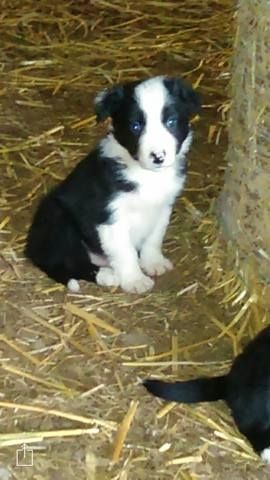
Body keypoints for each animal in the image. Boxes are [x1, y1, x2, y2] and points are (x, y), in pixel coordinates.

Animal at [24, 76, 200, 292]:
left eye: (171, 122)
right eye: (135, 126)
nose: (158, 157)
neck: (147, 175)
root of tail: (32, 248)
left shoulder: (163, 206)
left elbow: (154, 237)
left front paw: (153, 262)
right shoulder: (110, 215)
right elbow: (125, 250)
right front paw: (135, 280)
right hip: (58, 219)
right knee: (69, 263)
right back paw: (107, 275)